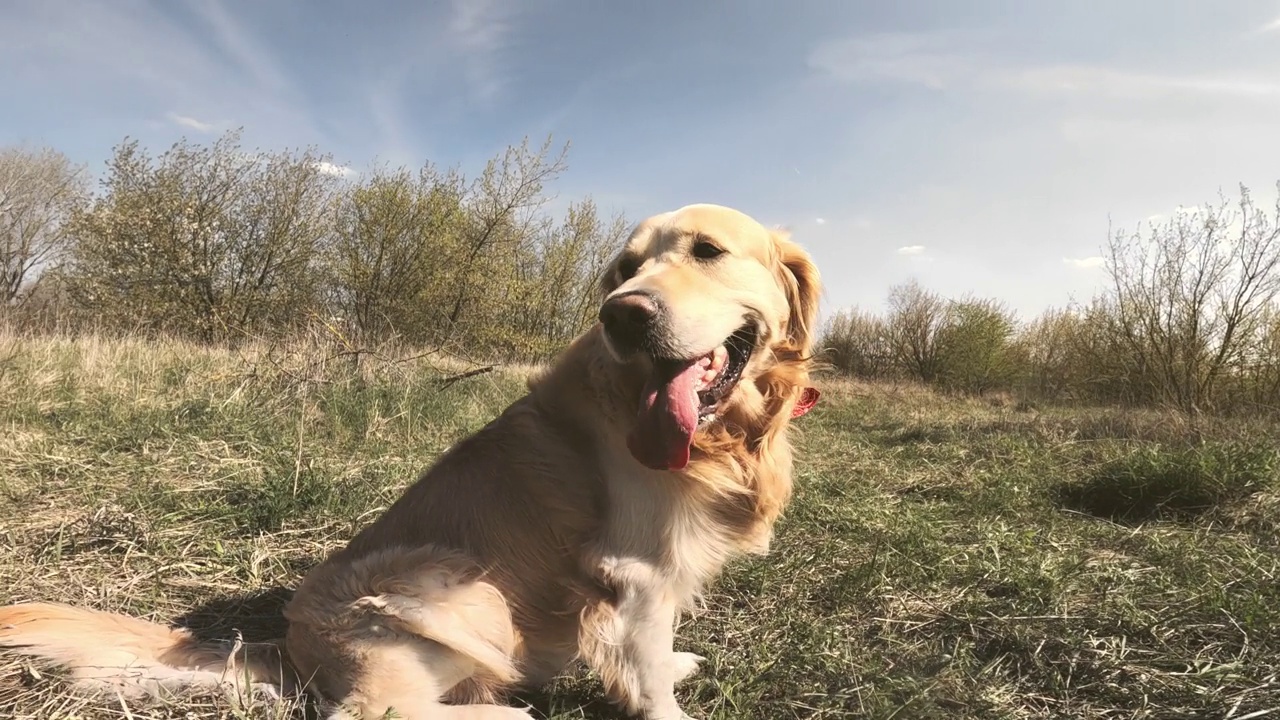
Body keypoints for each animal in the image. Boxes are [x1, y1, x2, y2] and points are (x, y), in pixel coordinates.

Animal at [0, 203, 819, 717]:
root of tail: (292, 644)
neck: (727, 438)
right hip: (461, 592)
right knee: (377, 711)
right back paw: (508, 716)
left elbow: (652, 652)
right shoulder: (636, 569)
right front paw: (665, 700)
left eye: (708, 251)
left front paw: (671, 667)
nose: (621, 313)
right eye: (624, 269)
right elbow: (646, 666)